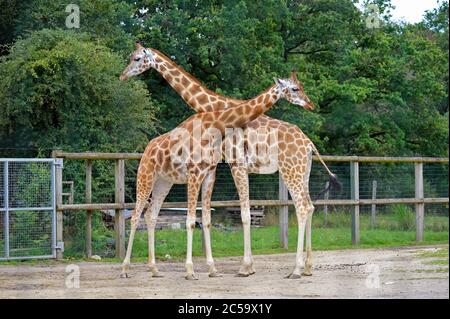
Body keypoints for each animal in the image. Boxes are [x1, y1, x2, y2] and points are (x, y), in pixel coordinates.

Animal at [119, 43, 338, 280]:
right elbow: (232, 213)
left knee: (302, 207)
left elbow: (243, 214)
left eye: (136, 58)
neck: (214, 108)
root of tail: (309, 144)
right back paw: (307, 267)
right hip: (303, 172)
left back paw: (297, 269)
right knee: (310, 206)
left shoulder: (235, 164)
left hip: (291, 170)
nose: (123, 75)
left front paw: (244, 267)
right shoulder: (226, 167)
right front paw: (243, 267)